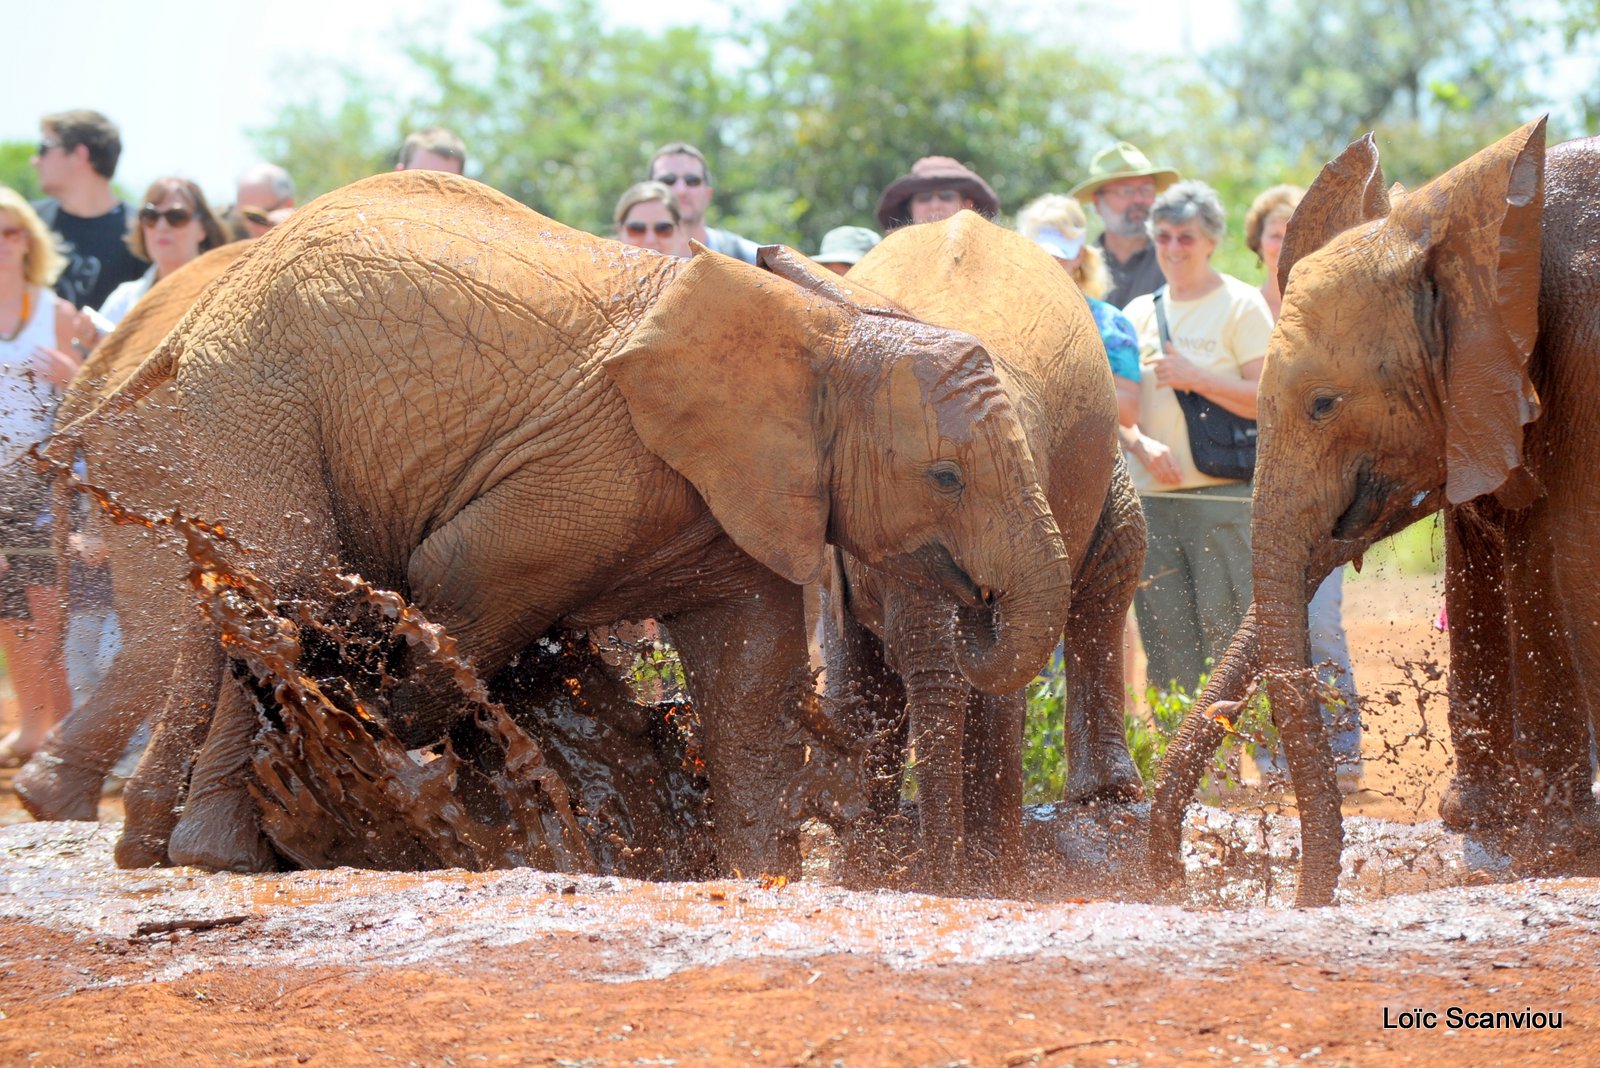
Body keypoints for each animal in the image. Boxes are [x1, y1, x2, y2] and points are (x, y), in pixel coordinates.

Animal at [56, 171, 1075, 876]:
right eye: (946, 477)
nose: (977, 599)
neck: (819, 332)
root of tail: (200, 309)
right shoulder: (584, 472)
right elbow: (453, 595)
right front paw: (398, 800)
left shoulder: (734, 493)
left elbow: (750, 677)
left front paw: (751, 873)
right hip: (253, 395)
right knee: (291, 586)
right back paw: (227, 854)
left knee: (226, 604)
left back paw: (168, 850)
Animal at [819, 211, 1145, 895]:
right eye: (877, 571)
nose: (978, 597)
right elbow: (860, 681)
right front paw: (860, 872)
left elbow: (998, 691)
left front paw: (993, 879)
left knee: (1116, 560)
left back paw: (1106, 801)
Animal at [1158, 120, 1593, 908]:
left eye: (1324, 404)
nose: (1177, 886)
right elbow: (1511, 568)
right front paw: (1511, 836)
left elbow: (1569, 563)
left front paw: (1551, 847)